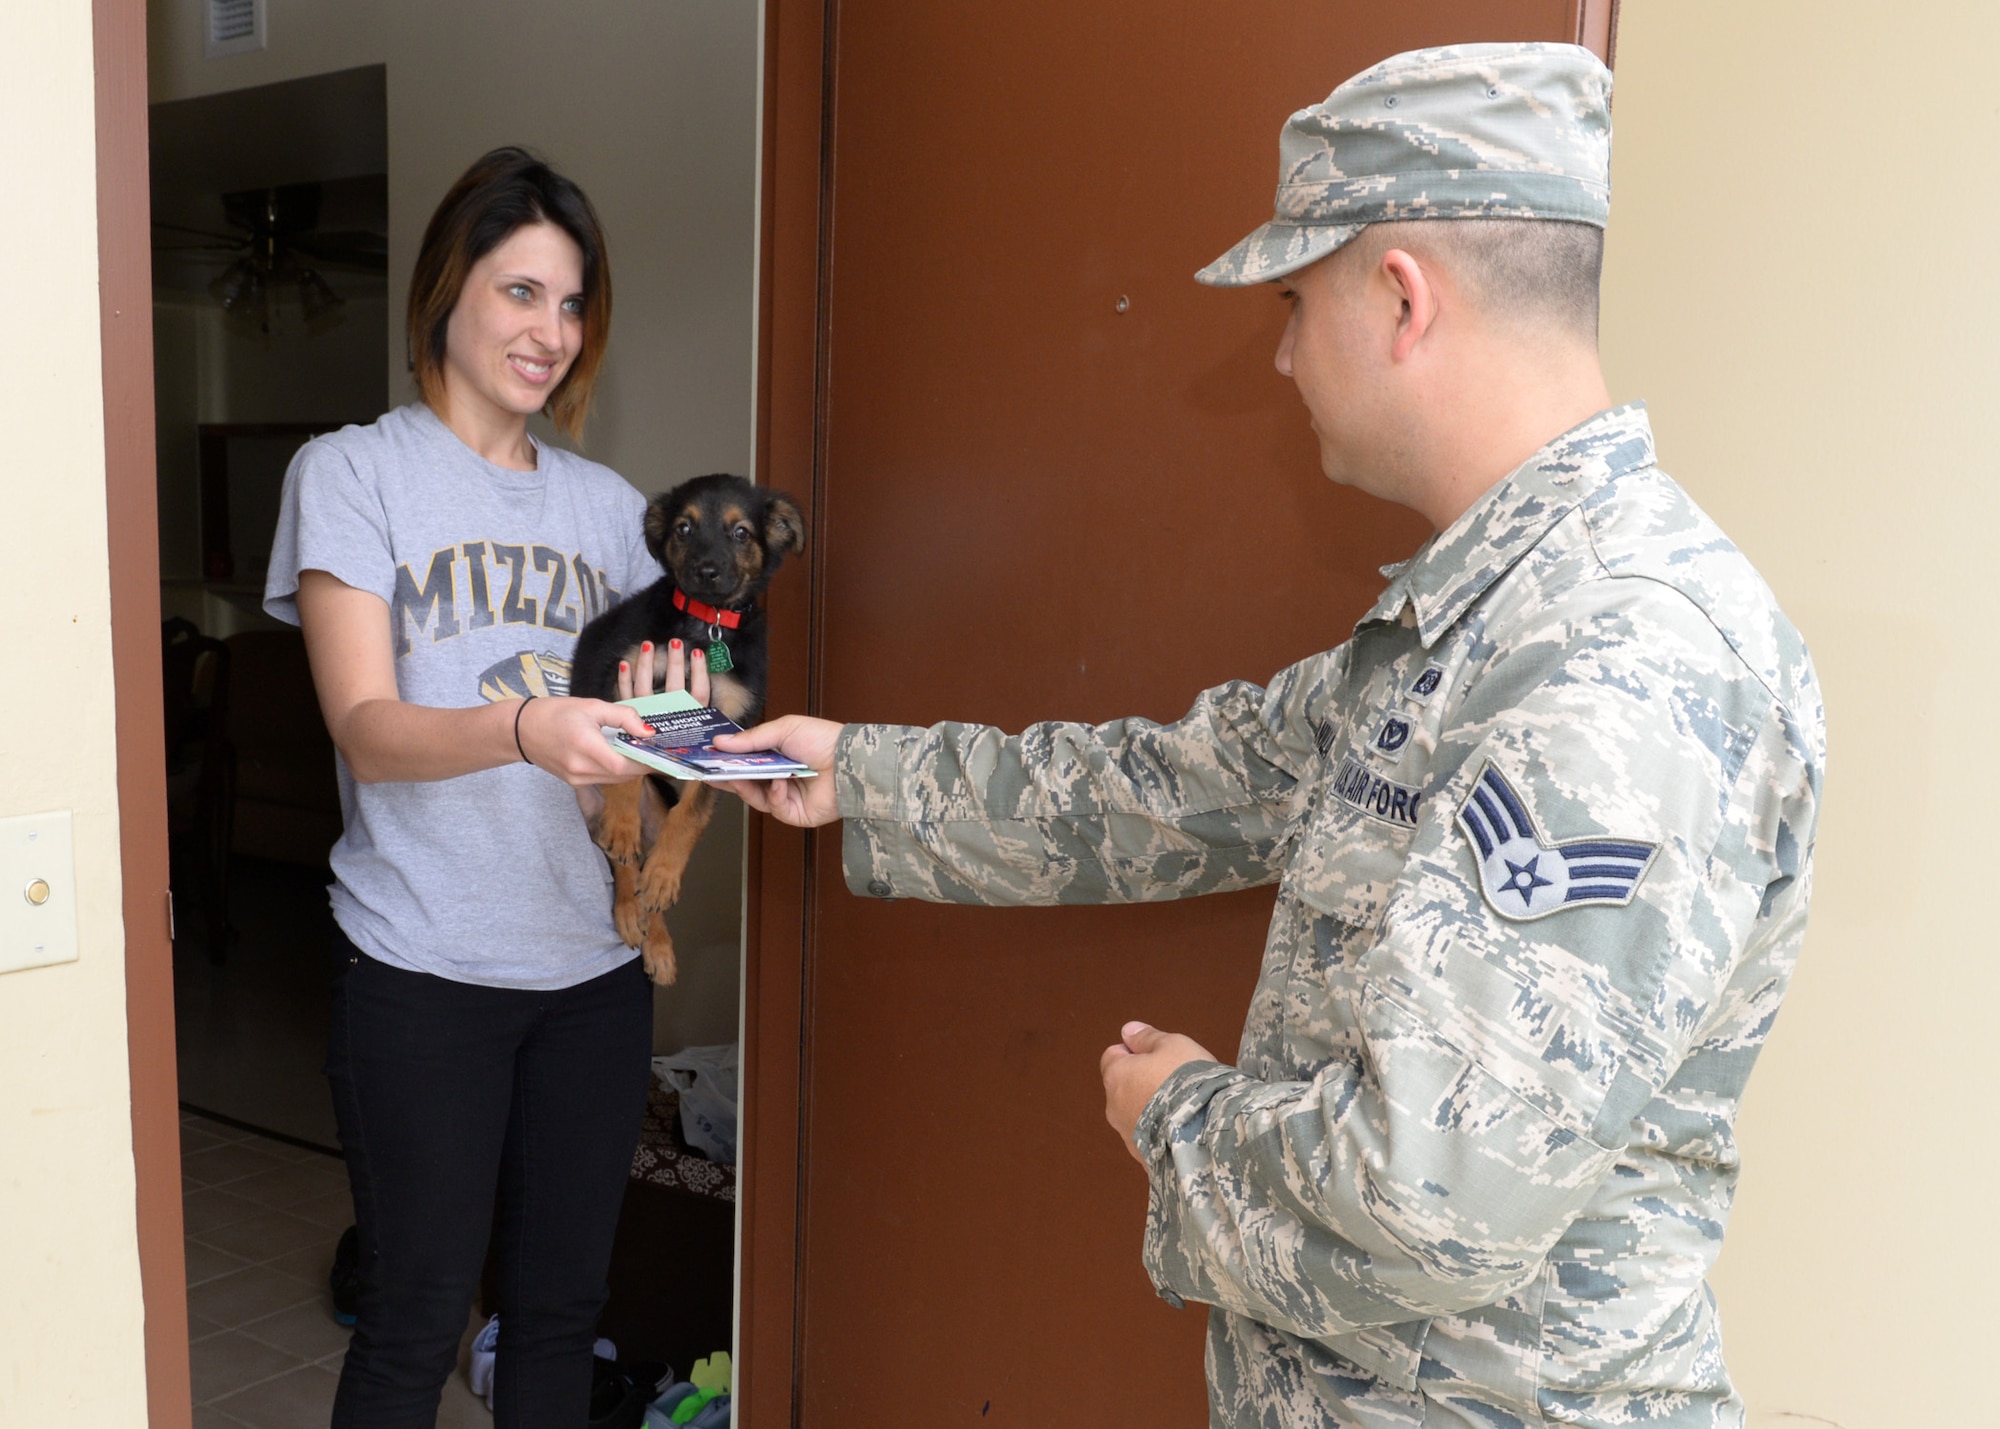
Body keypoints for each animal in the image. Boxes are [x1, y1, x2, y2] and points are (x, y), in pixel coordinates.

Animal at [572, 476, 804, 980]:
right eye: (683, 528)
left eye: (741, 532)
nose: (707, 571)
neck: (707, 626)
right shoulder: (619, 682)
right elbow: (625, 763)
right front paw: (624, 825)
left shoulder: (729, 727)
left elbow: (693, 814)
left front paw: (663, 876)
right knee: (621, 862)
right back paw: (627, 908)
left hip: (658, 810)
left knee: (647, 873)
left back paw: (656, 937)